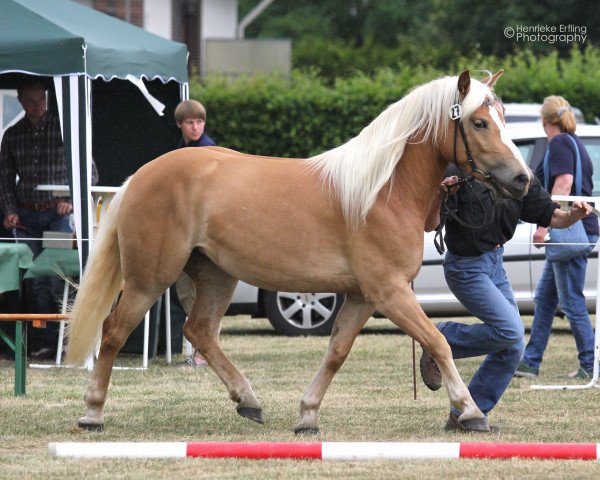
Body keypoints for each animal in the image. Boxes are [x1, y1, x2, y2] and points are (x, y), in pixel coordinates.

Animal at [68, 70, 532, 436]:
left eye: (502, 118)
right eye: (479, 122)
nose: (523, 179)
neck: (381, 191)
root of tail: (140, 176)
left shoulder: (362, 297)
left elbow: (336, 353)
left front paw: (307, 415)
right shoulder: (390, 293)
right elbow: (438, 340)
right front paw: (470, 411)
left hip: (216, 276)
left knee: (199, 331)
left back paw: (248, 399)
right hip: (148, 280)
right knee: (113, 331)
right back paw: (93, 413)